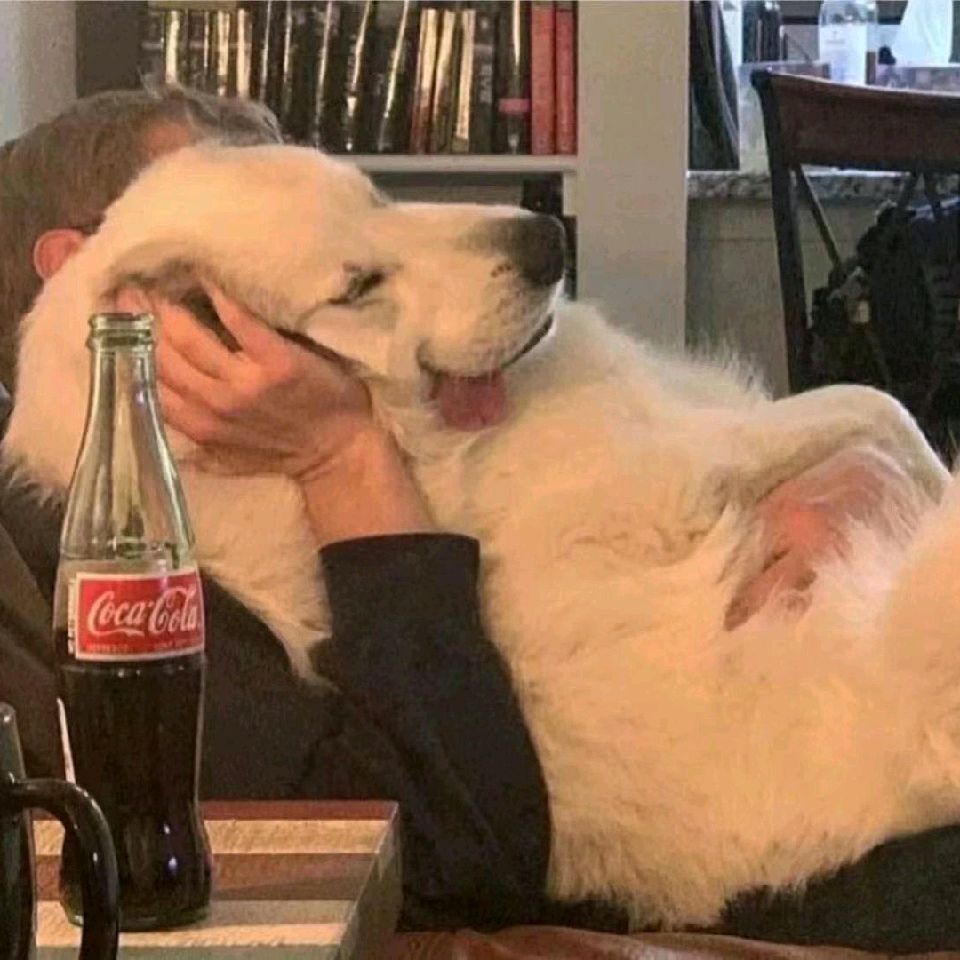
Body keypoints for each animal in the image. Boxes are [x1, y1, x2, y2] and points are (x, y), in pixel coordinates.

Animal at [7, 142, 960, 932]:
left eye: (378, 195)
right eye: (358, 288)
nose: (545, 241)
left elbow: (884, 421)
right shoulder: (687, 466)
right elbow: (888, 413)